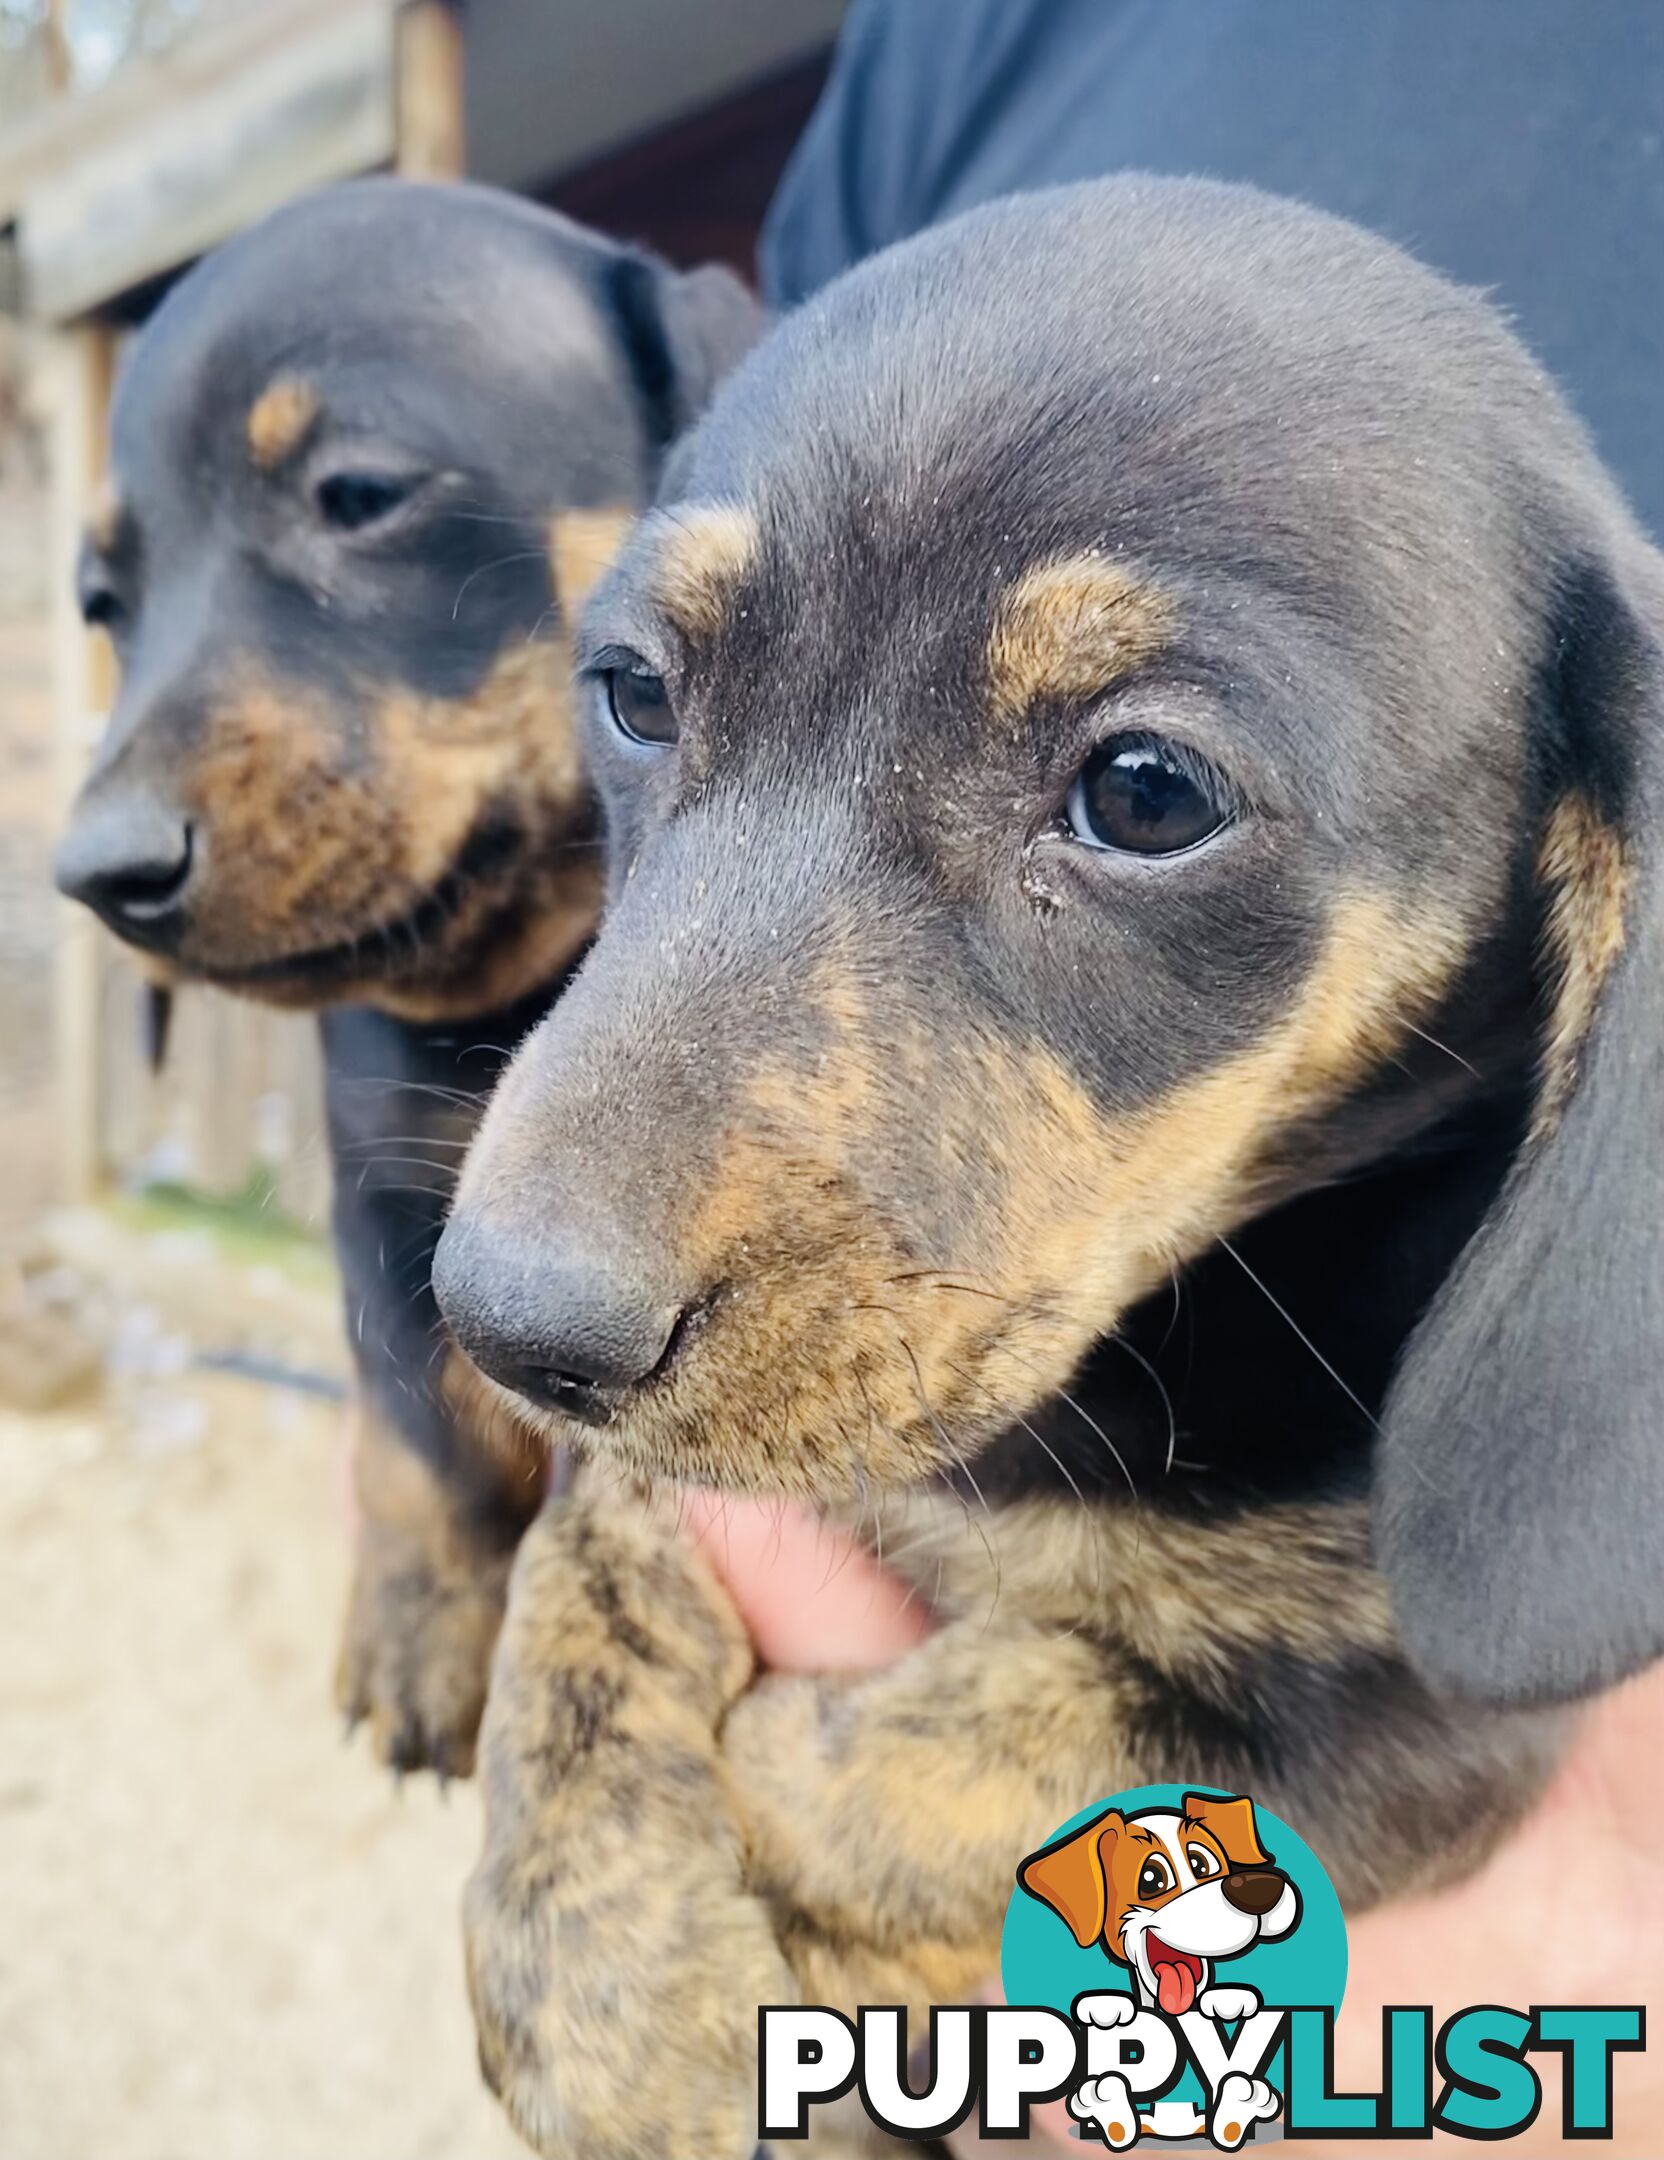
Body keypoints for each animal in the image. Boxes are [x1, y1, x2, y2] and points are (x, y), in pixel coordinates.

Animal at [55, 181, 760, 1771]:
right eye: (100, 601)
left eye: (362, 494)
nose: (95, 874)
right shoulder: (375, 1189)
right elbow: (408, 1413)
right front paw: (419, 1622)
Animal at [432, 172, 1659, 2160]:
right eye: (629, 693)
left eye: (1144, 793)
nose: (506, 1327)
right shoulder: (648, 1494)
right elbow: (585, 1583)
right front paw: (618, 1998)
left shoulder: (1424, 1718)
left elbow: (1001, 1757)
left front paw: (793, 1845)